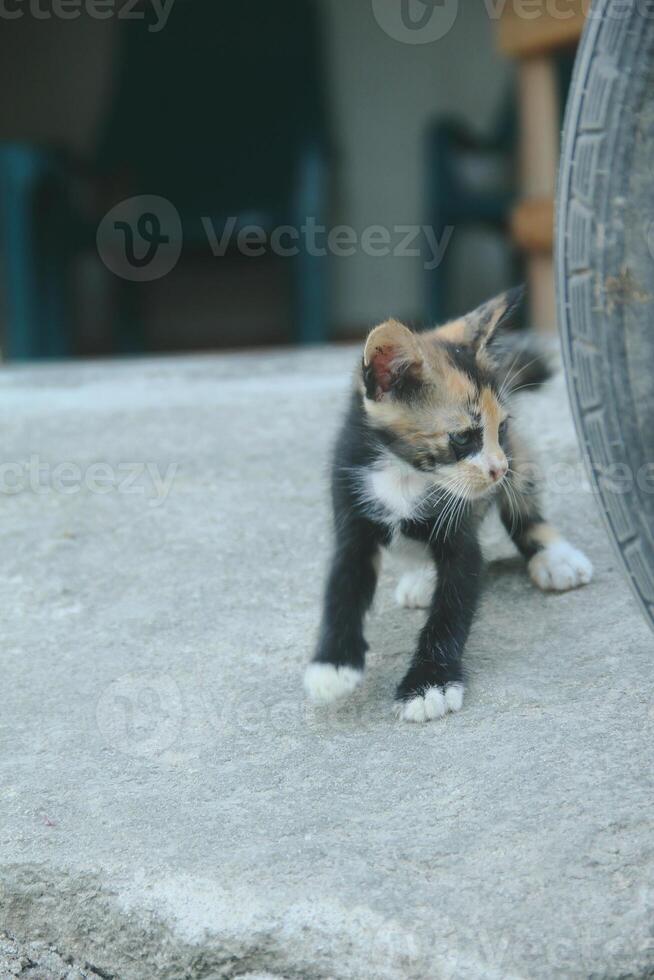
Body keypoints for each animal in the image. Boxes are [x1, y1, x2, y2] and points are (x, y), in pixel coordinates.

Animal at [304, 288, 596, 724]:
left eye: (501, 428)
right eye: (462, 438)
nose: (497, 468)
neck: (404, 474)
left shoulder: (462, 536)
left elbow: (452, 606)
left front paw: (429, 684)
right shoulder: (352, 509)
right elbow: (342, 585)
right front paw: (333, 664)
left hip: (520, 466)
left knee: (524, 506)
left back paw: (554, 555)